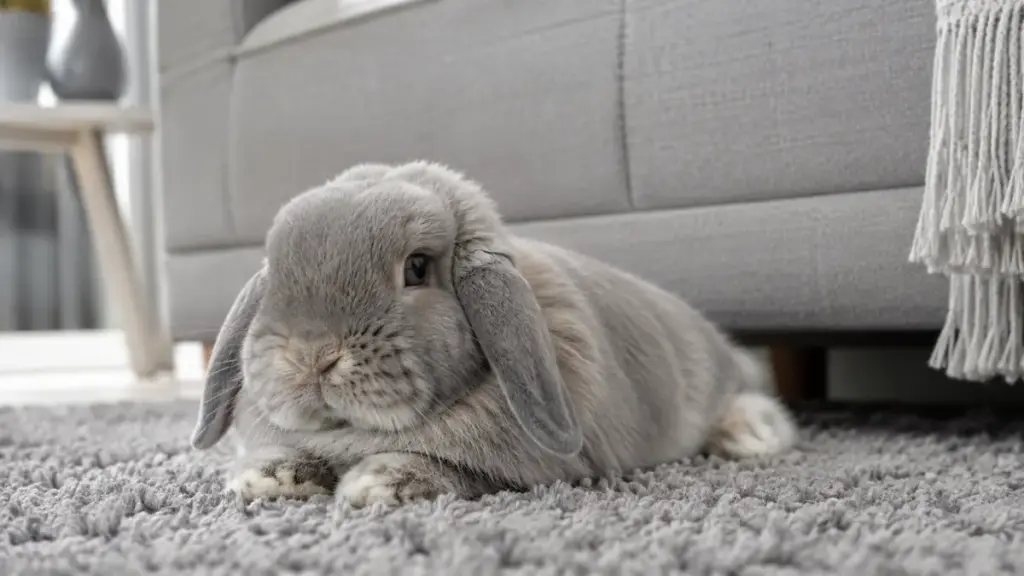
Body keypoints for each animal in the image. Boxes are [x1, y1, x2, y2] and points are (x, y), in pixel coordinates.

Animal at [190, 161, 798, 508]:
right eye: (276, 269)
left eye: (417, 267)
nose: (311, 356)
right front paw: (266, 477)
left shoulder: (527, 469)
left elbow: (456, 471)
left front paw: (373, 485)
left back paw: (750, 435)